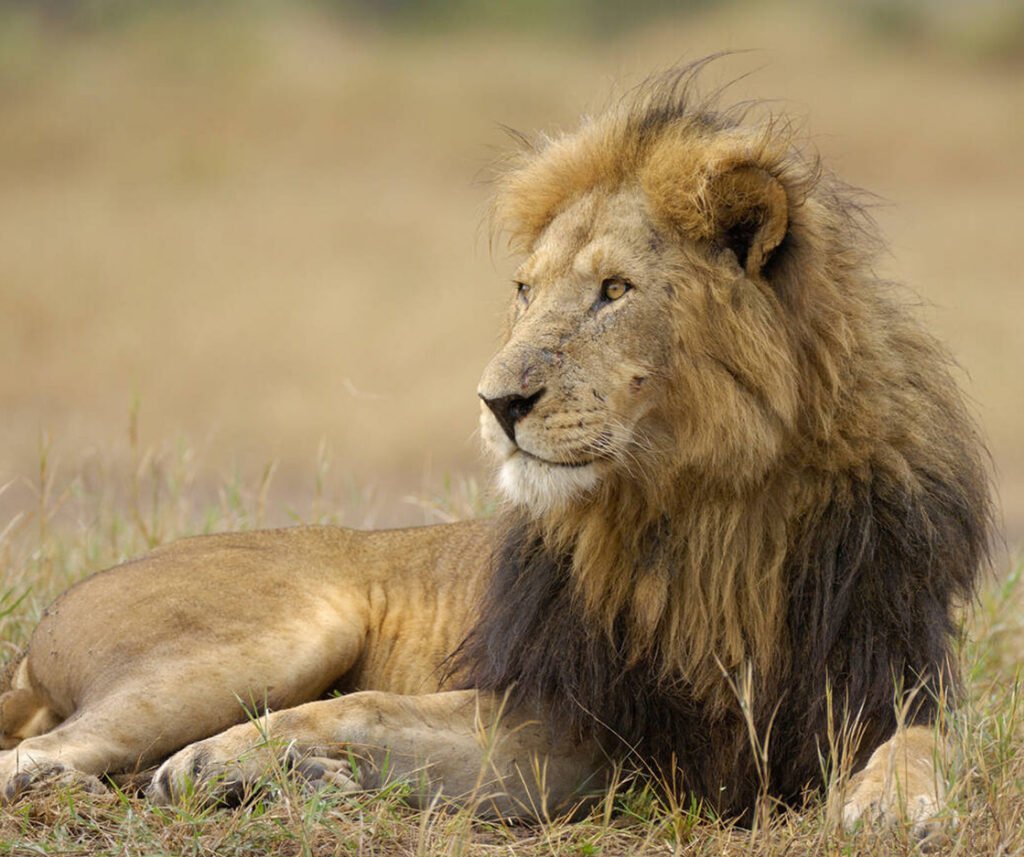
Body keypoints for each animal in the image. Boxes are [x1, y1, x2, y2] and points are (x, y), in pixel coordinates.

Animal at [0, 68, 990, 834]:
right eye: (525, 290)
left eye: (614, 290)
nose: (498, 401)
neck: (706, 510)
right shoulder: (572, 715)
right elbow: (364, 704)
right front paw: (216, 757)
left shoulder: (878, 679)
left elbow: (926, 743)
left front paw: (896, 805)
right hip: (288, 624)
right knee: (38, 754)